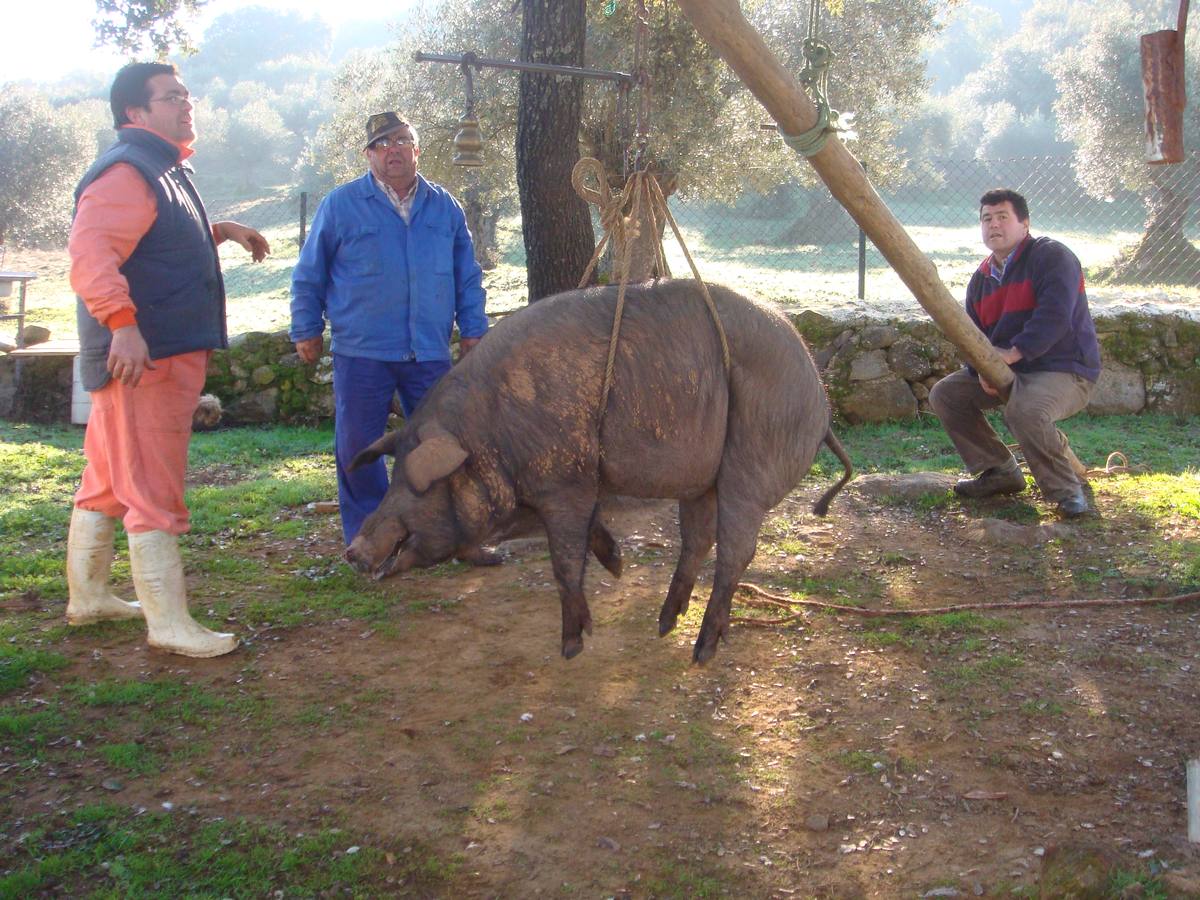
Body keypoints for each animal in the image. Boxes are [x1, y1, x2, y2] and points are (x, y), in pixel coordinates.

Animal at [348, 282, 854, 662]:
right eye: (393, 474)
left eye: (417, 486)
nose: (354, 551)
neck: (492, 439)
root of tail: (821, 399)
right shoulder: (579, 480)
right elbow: (590, 529)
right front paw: (617, 565)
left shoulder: (562, 482)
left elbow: (564, 562)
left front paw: (572, 645)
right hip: (701, 478)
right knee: (697, 540)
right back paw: (664, 623)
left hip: (752, 462)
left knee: (736, 552)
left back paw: (702, 650)